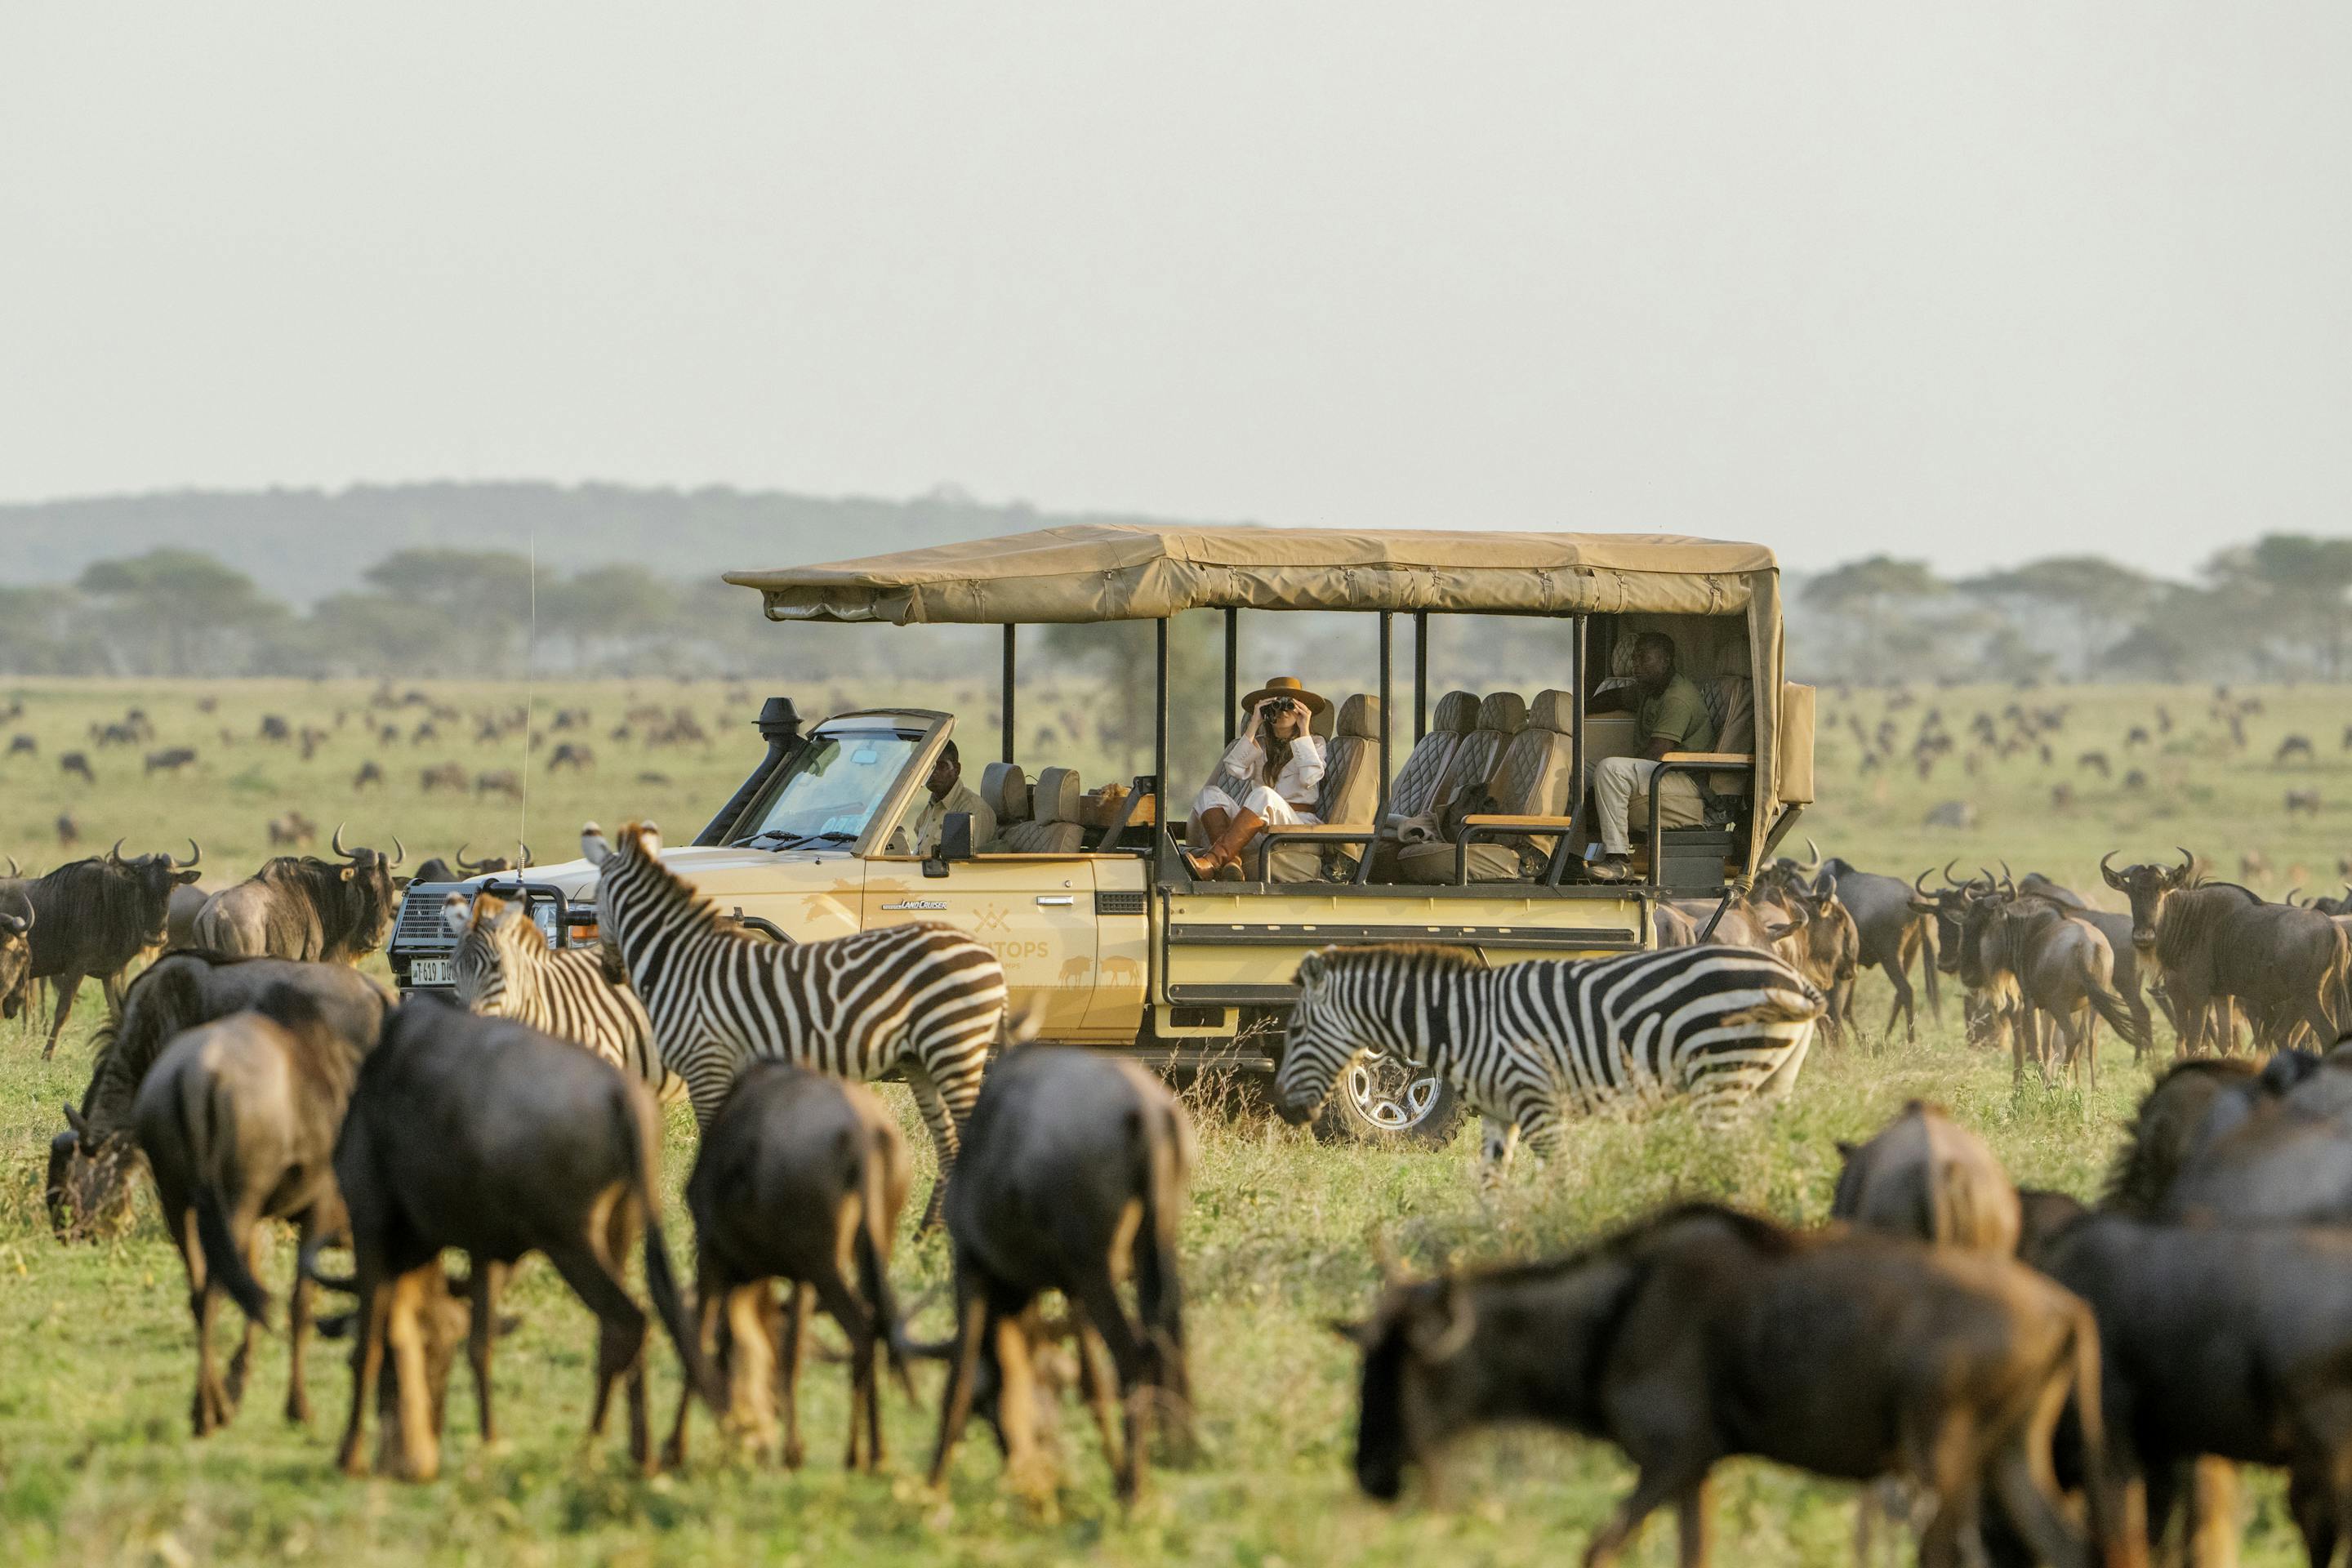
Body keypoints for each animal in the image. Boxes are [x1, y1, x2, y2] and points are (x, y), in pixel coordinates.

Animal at [582, 820, 1007, 1225]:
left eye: (594, 906)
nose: (610, 972)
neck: (683, 960)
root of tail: (988, 954)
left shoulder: (708, 1062)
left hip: (953, 1045)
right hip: (926, 1058)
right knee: (949, 1144)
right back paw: (927, 1234)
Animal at [1272, 942, 1822, 1180]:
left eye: (1294, 1031)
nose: (1283, 1110)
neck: (1464, 1021)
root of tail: (1797, 979)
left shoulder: (1537, 1101)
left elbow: (1560, 1177)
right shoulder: (1500, 1113)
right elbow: (1490, 1184)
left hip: (1722, 1076)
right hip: (1772, 1081)